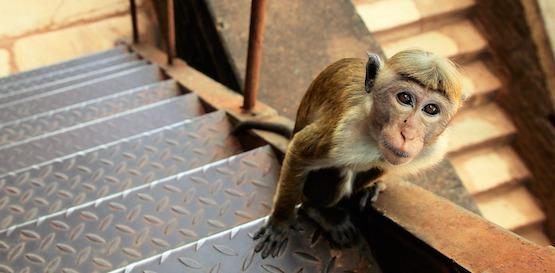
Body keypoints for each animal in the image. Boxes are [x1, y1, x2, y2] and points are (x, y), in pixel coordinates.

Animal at [249, 49, 464, 258]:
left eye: (431, 109)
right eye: (404, 98)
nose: (408, 133)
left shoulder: (430, 150)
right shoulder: (342, 133)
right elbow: (300, 151)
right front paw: (280, 222)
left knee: (378, 166)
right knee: (337, 171)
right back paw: (318, 210)